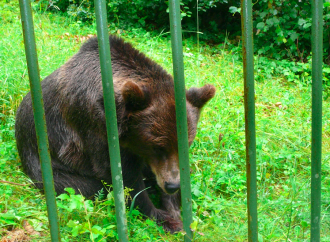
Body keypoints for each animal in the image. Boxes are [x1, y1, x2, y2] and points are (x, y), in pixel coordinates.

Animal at [15, 35, 215, 231]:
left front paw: (175, 209)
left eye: (187, 143)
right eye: (157, 146)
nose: (172, 185)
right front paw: (163, 218)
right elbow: (122, 177)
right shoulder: (93, 126)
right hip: (49, 166)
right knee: (84, 187)